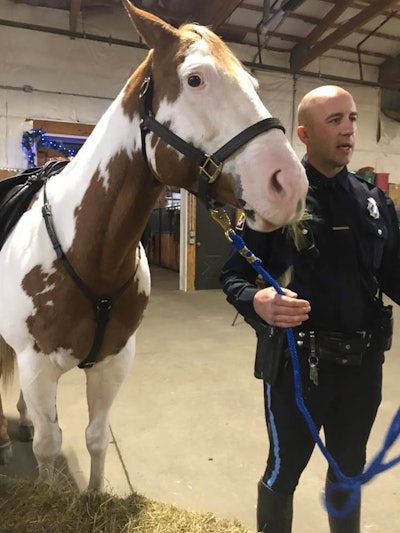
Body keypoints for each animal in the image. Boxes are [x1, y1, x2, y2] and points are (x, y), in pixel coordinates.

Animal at [0, 1, 308, 490]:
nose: (290, 185)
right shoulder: (39, 366)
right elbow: (50, 447)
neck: (90, 252)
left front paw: (94, 495)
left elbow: (96, 438)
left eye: (255, 85)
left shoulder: (113, 361)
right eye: (195, 79)